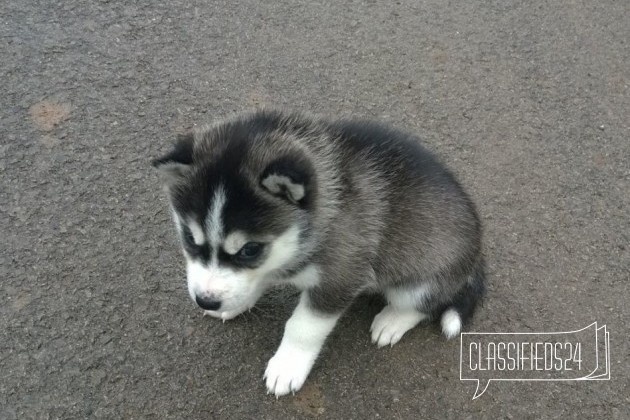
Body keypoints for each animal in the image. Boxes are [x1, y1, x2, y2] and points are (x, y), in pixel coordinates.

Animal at [152, 109, 484, 398]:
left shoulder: (341, 276)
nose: (206, 299)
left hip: (420, 279)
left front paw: (287, 365)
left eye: (249, 249)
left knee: (421, 303)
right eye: (189, 238)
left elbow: (303, 327)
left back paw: (392, 320)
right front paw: (237, 302)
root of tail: (477, 254)